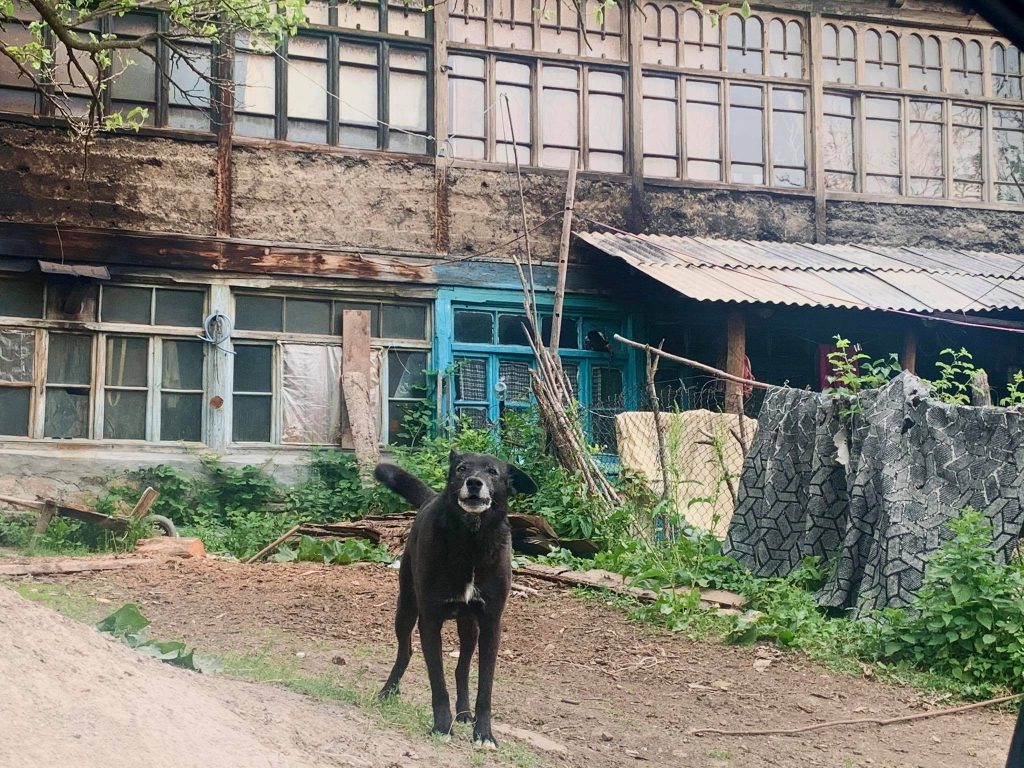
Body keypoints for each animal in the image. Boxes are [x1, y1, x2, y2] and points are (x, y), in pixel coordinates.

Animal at [374, 450, 536, 753]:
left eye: (492, 472)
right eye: (461, 469)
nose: (474, 482)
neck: (472, 541)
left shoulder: (491, 624)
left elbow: (485, 687)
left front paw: (483, 733)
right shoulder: (429, 621)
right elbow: (438, 682)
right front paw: (441, 726)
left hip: (469, 627)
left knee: (462, 668)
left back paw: (463, 713)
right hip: (406, 609)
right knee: (405, 651)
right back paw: (388, 691)